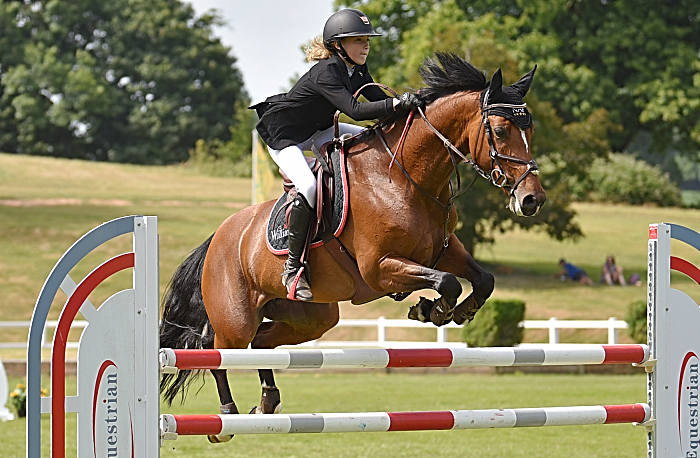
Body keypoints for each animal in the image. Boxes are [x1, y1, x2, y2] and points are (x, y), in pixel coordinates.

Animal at [160, 51, 548, 440]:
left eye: (530, 130)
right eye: (500, 130)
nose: (532, 200)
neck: (404, 177)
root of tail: (219, 236)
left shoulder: (444, 250)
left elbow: (482, 280)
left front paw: (453, 311)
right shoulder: (380, 269)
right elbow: (448, 282)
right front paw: (433, 310)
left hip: (312, 318)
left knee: (262, 343)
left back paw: (268, 403)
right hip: (235, 320)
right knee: (217, 350)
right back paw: (226, 417)